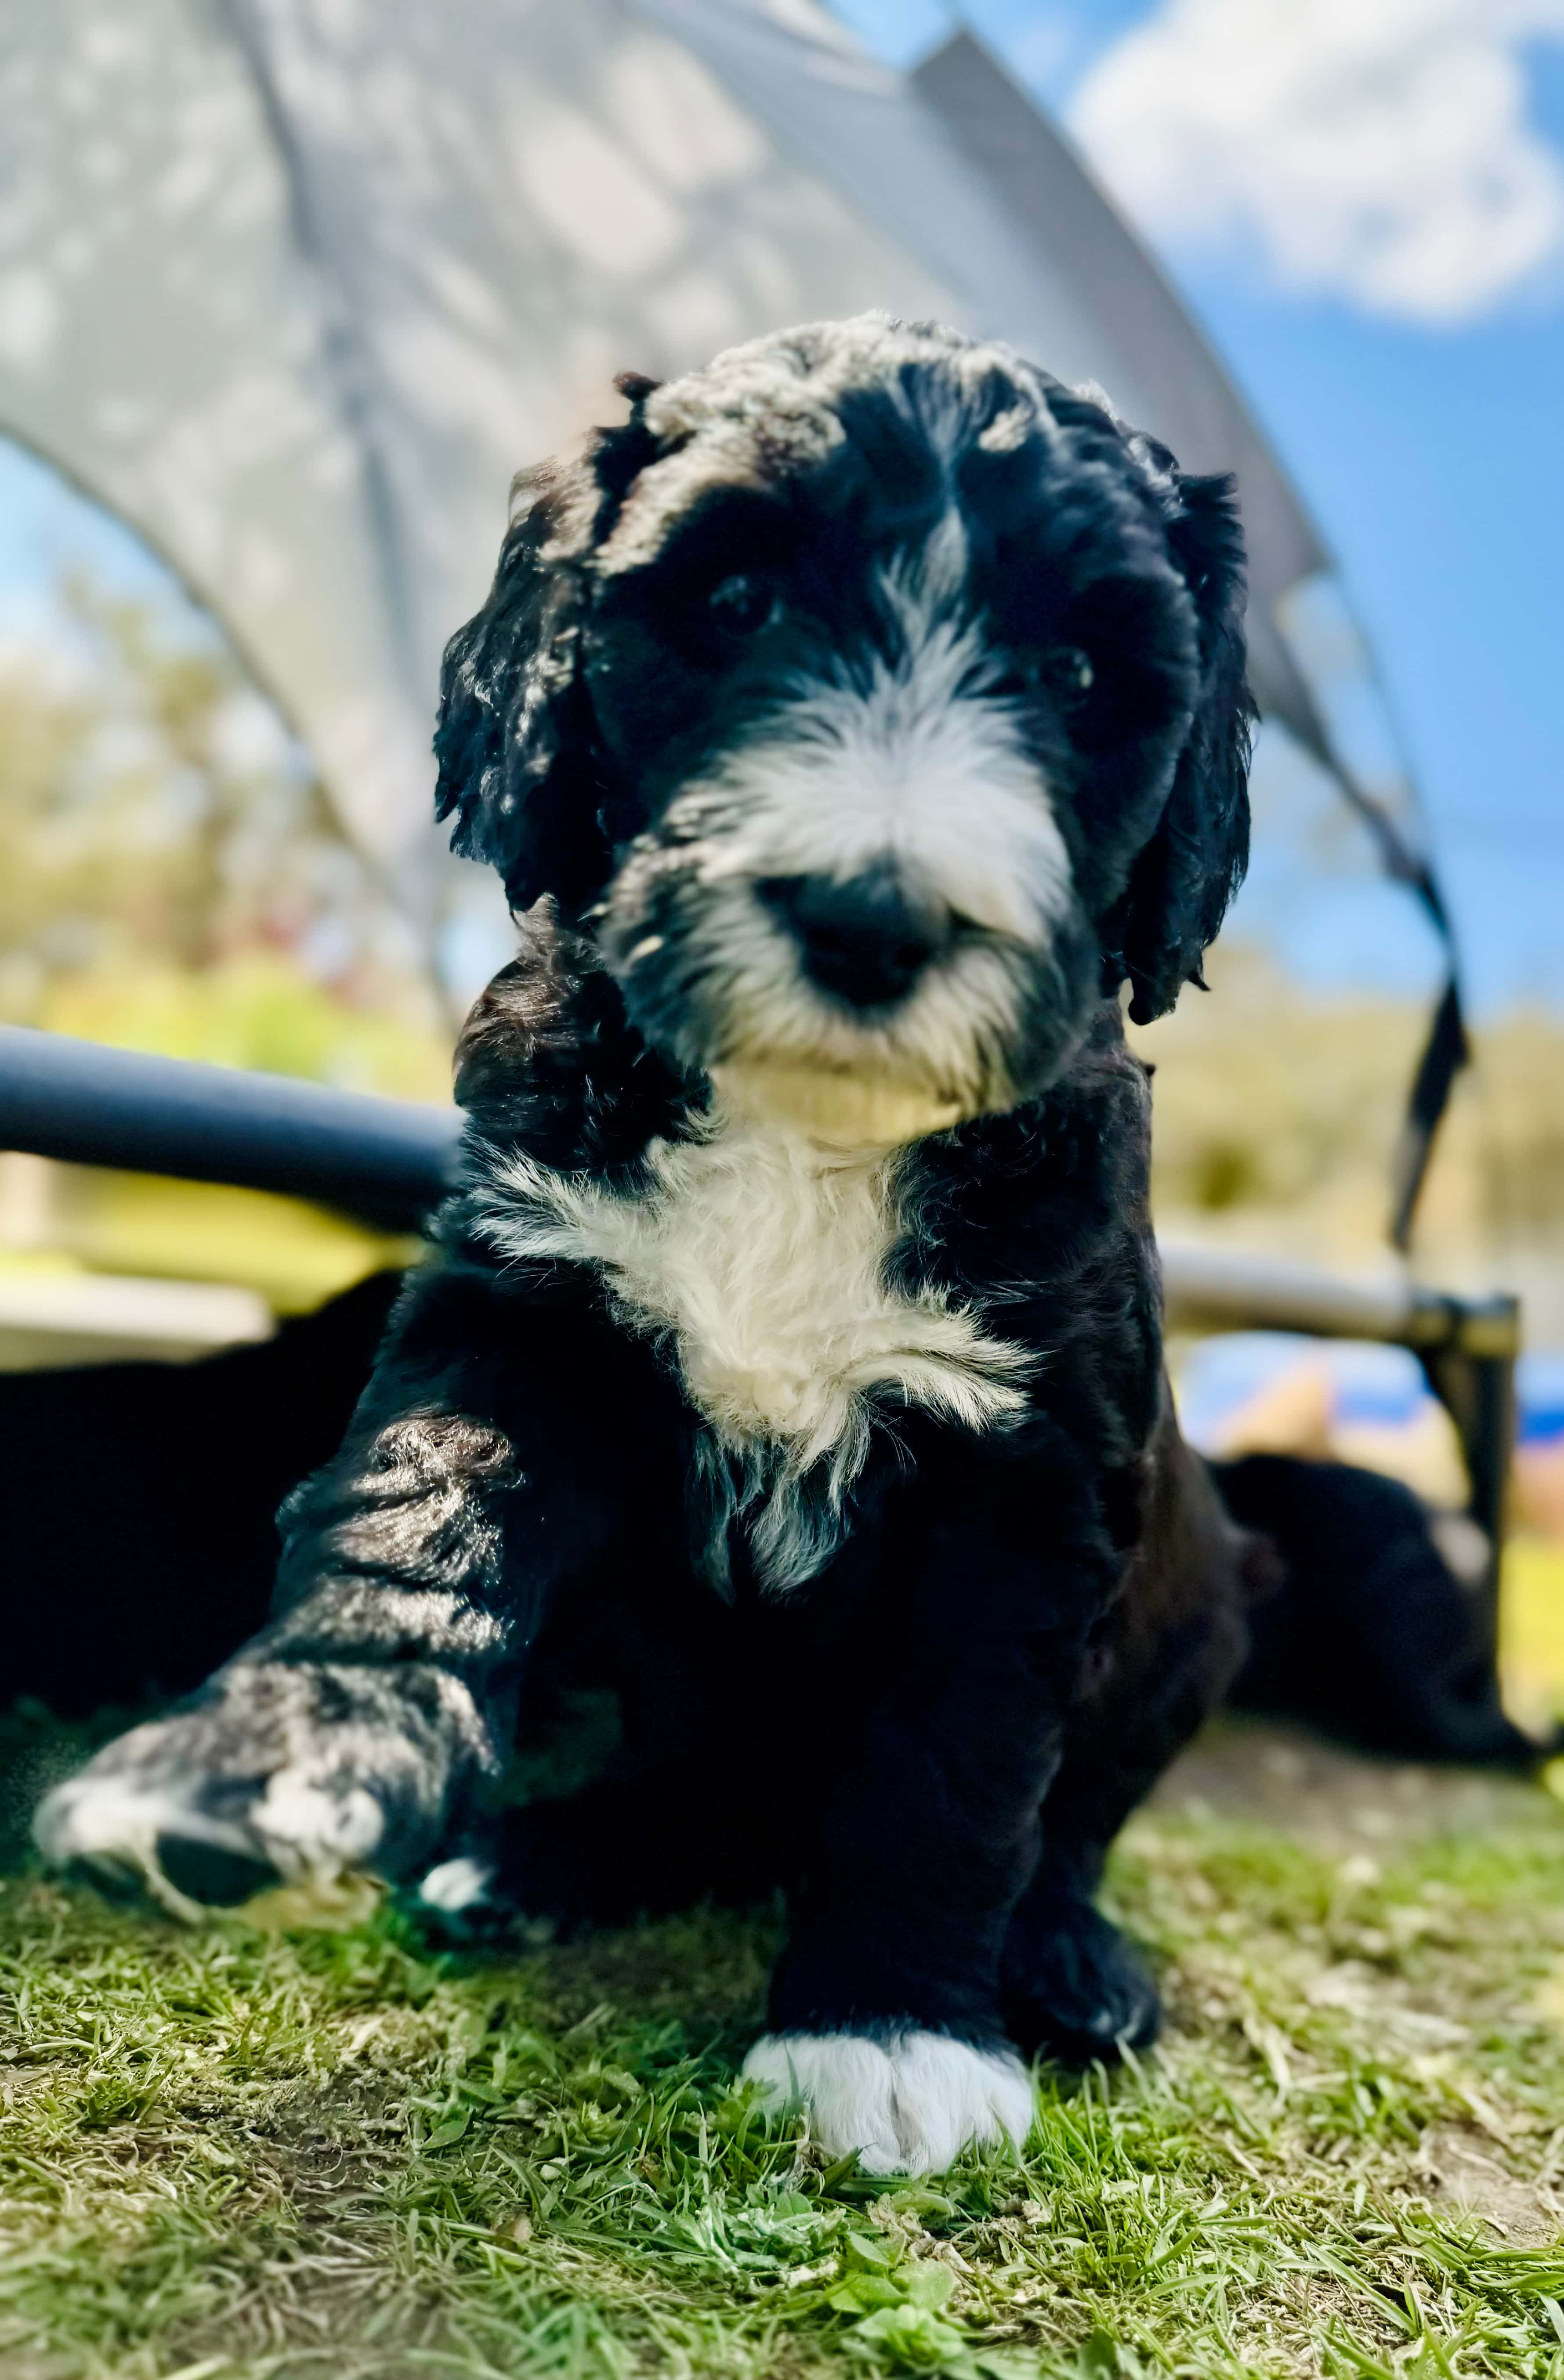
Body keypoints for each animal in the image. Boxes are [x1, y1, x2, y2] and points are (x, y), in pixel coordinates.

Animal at [21, 316, 1523, 2180]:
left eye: (1080, 675)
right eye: (733, 600)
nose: (874, 916)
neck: (811, 1125)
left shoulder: (1028, 1467)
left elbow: (959, 1761)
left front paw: (887, 2026)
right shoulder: (521, 1299)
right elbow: (412, 1522)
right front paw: (260, 1759)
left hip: (1196, 1611)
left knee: (1072, 1815)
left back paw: (1061, 1953)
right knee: (694, 1773)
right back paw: (553, 1852)